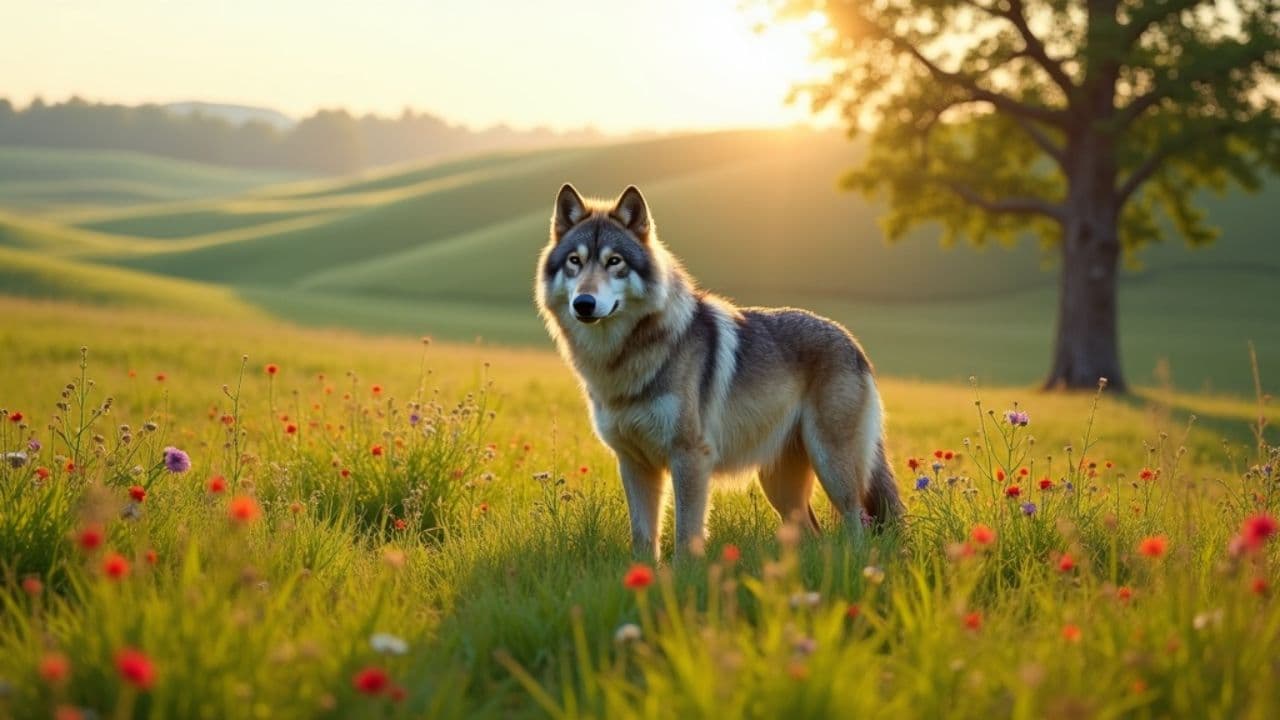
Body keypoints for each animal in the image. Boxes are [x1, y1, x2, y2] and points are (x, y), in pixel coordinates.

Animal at [535, 183, 903, 560]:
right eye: (574, 261)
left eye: (614, 261)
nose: (584, 303)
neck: (622, 358)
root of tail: (853, 343)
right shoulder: (634, 462)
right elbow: (643, 537)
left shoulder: (690, 457)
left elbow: (686, 534)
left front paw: (685, 573)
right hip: (781, 487)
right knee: (814, 532)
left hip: (832, 467)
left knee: (858, 523)